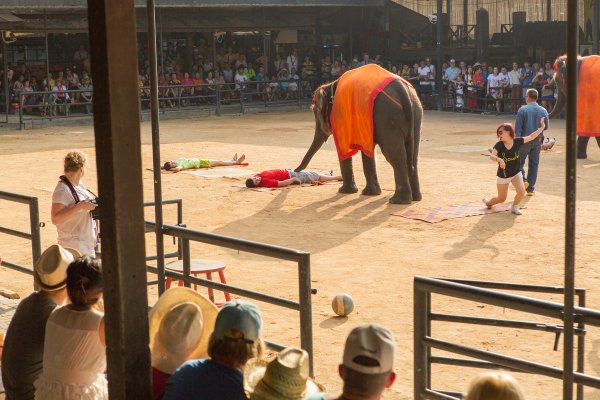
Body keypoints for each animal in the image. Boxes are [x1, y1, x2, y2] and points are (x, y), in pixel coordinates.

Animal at [296, 67, 422, 205]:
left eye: (315, 111)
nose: (295, 171)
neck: (331, 85)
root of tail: (403, 89)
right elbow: (368, 150)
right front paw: (370, 193)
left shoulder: (340, 114)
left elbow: (345, 148)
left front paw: (345, 191)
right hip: (415, 114)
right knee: (412, 155)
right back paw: (415, 198)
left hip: (388, 116)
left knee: (394, 156)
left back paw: (398, 200)